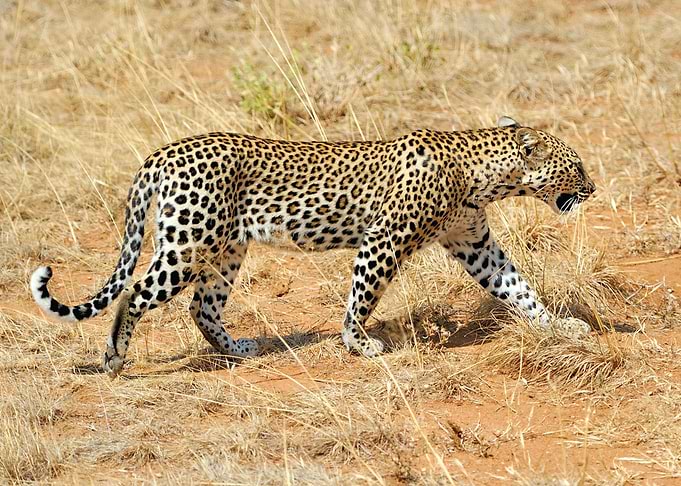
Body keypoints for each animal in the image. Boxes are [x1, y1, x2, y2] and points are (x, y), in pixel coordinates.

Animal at [30, 116, 596, 377]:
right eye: (577, 165)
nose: (593, 188)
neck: (484, 176)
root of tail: (161, 152)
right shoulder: (384, 239)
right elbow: (362, 296)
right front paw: (359, 343)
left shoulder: (474, 243)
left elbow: (518, 287)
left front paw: (559, 325)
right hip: (187, 244)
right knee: (133, 294)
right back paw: (114, 359)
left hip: (225, 251)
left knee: (202, 307)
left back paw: (239, 349)